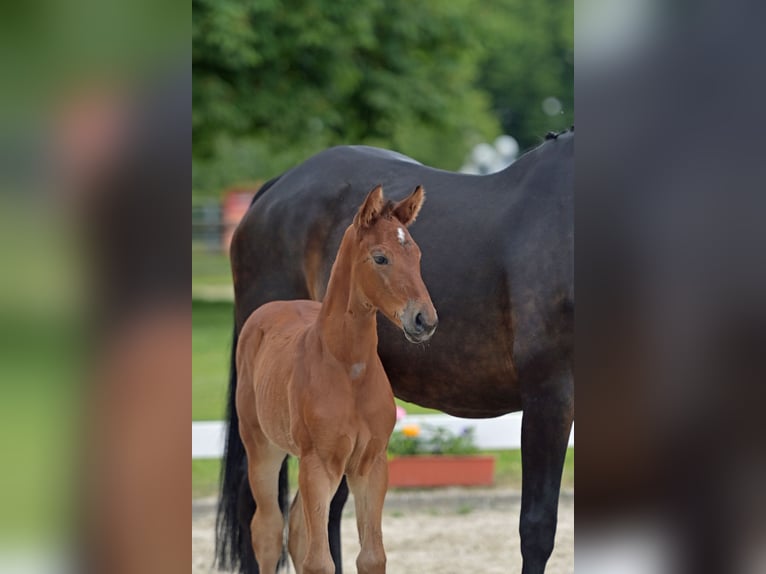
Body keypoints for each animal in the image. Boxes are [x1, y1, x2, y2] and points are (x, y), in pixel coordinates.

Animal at [237, 187, 438, 572]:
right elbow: (320, 561)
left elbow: (372, 556)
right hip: (262, 447)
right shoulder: (318, 463)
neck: (348, 369)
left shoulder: (370, 464)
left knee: (297, 529)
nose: (425, 320)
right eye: (380, 258)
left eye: (418, 255)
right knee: (268, 530)